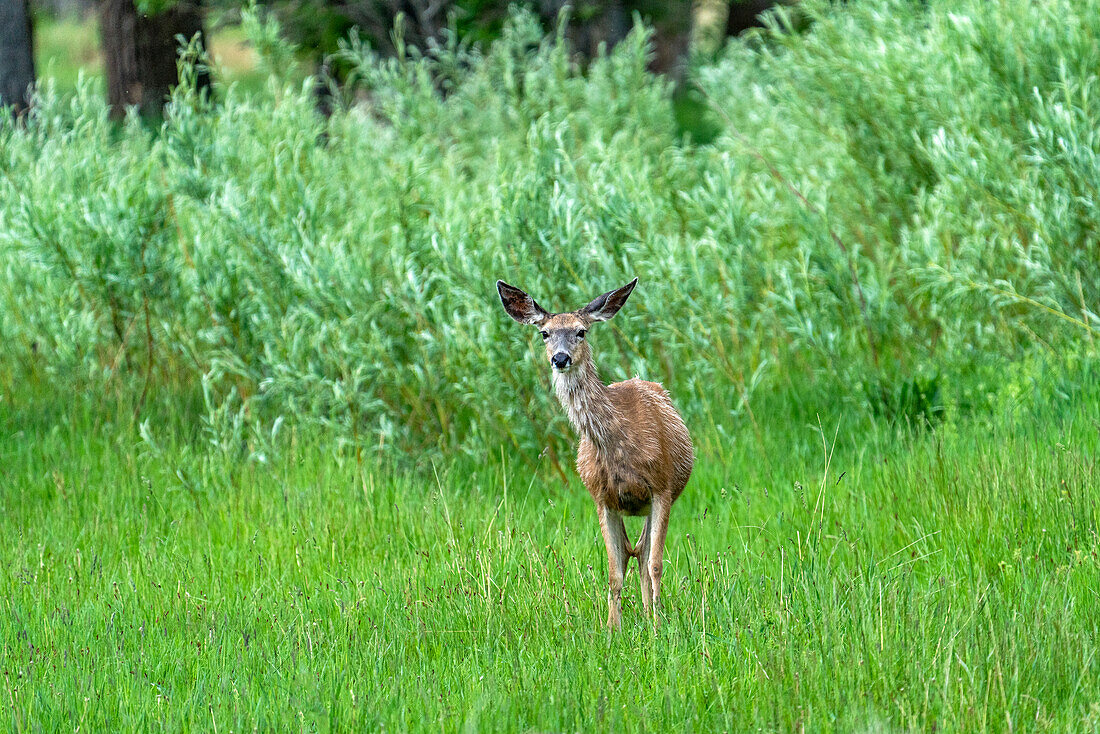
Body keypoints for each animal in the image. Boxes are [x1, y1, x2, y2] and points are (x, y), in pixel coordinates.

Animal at [501, 278, 695, 629]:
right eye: (544, 333)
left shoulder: (661, 486)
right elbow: (614, 572)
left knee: (645, 554)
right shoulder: (602, 497)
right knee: (636, 551)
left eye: (581, 331)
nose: (560, 359)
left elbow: (656, 564)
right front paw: (612, 630)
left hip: (658, 498)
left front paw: (660, 628)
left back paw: (652, 614)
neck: (618, 443)